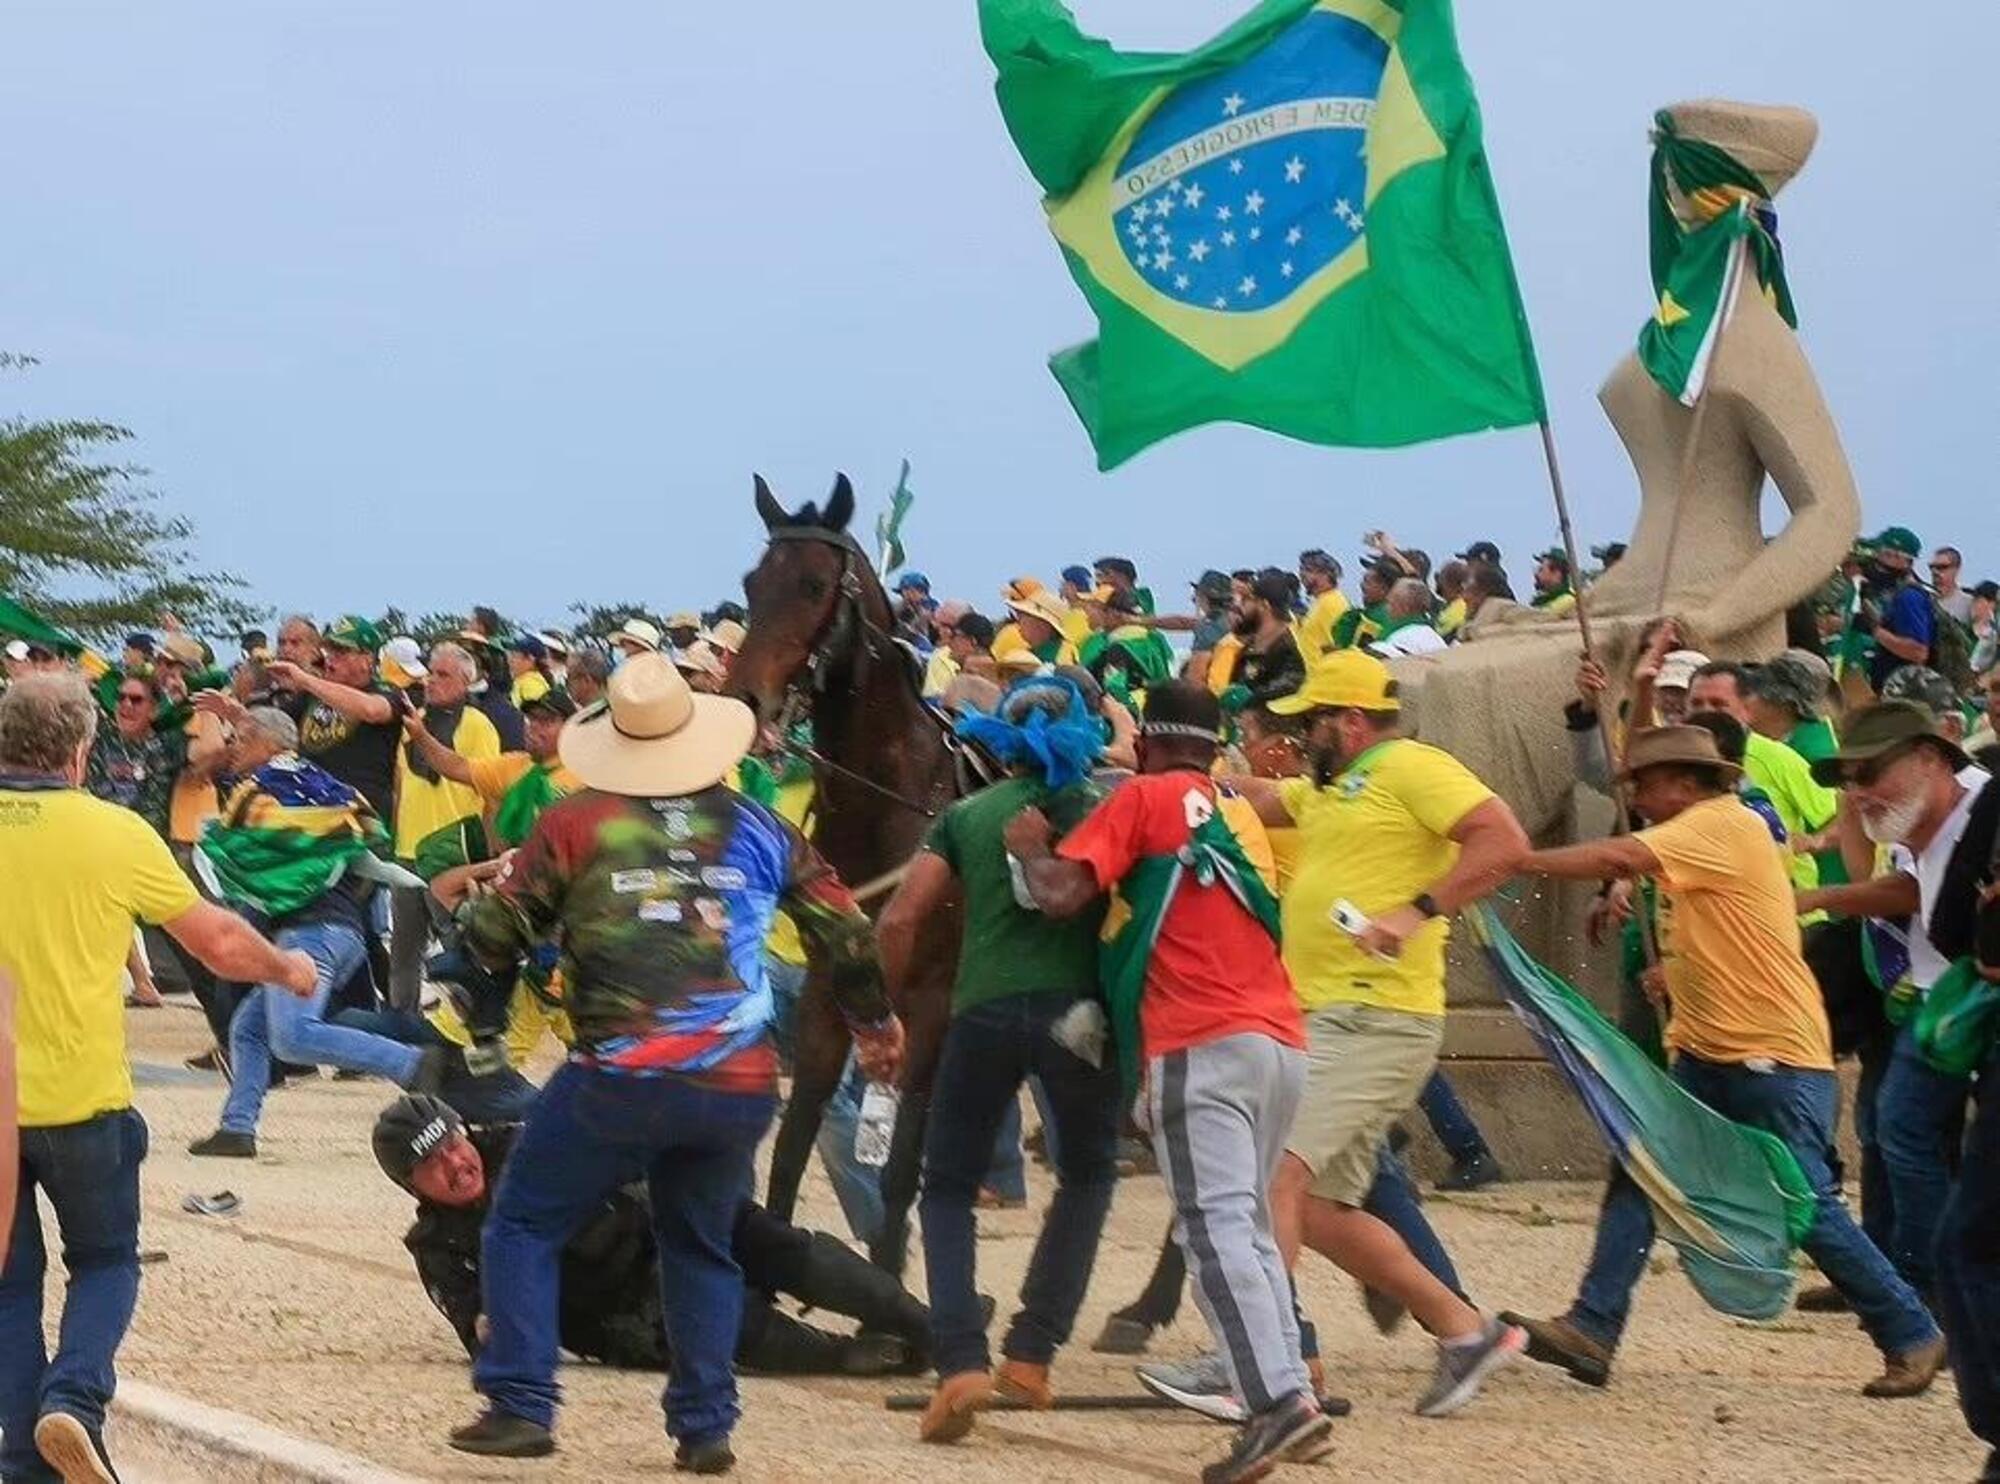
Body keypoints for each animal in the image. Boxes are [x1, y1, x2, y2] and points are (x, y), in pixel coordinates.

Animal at [728, 474, 968, 1280]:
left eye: (812, 585)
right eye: (751, 583)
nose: (744, 700)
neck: (888, 802)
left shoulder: (930, 1006)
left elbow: (899, 1168)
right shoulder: (828, 994)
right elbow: (792, 1145)